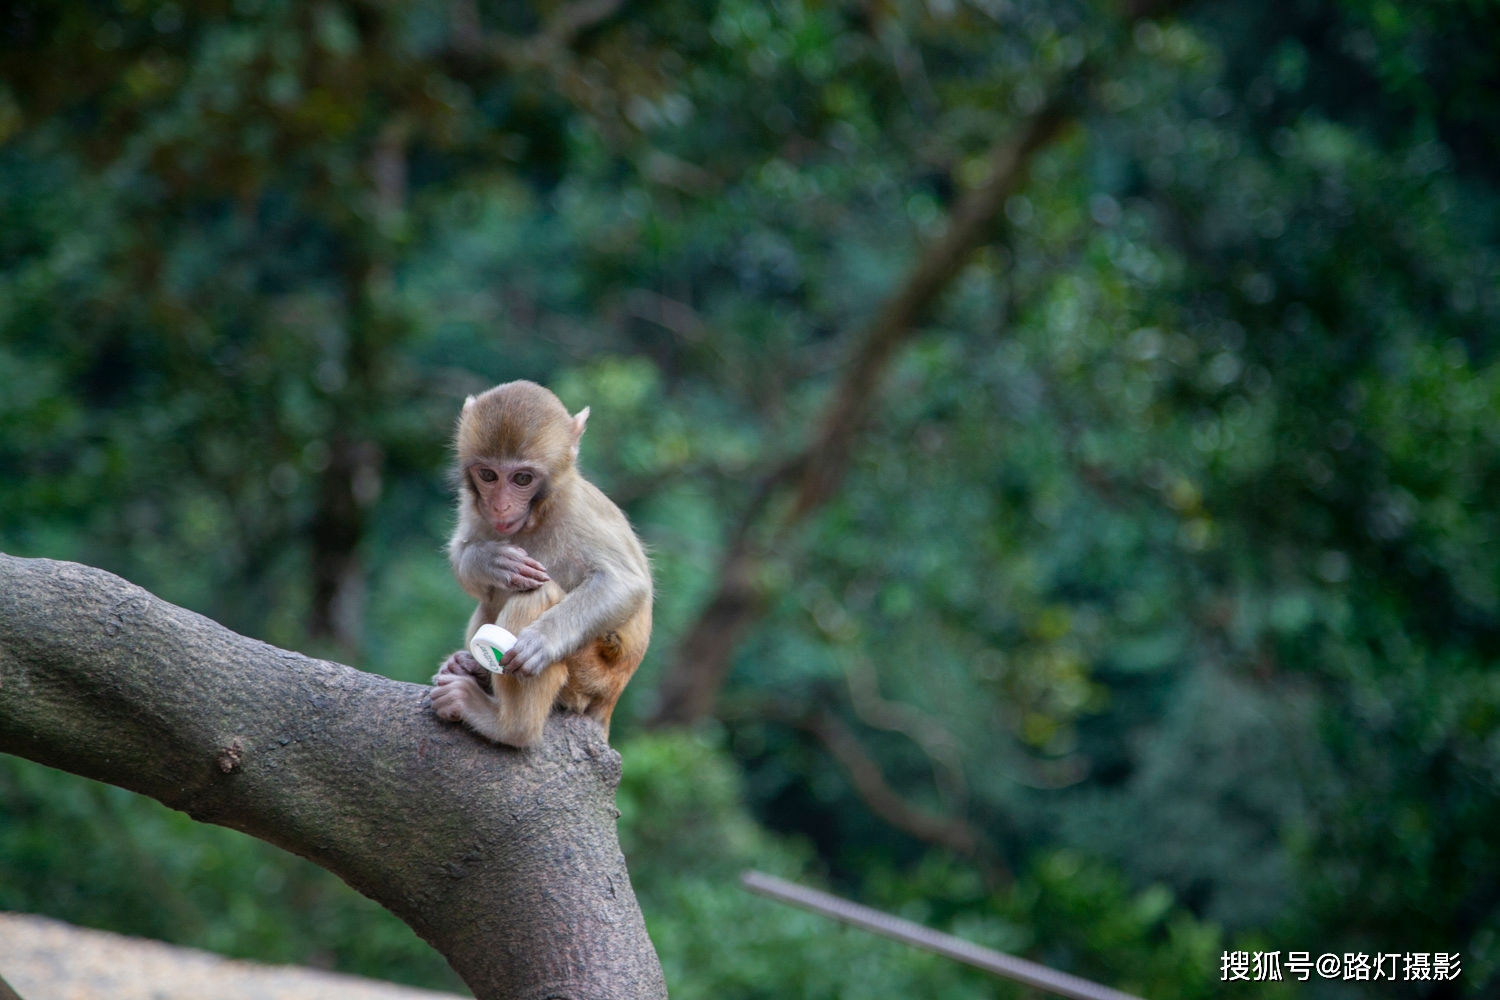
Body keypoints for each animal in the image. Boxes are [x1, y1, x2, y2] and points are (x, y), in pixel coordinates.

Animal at [429, 379, 651, 746]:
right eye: (488, 475)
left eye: (522, 479)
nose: (501, 507)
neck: (538, 515)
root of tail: (611, 700)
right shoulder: (472, 504)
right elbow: (462, 554)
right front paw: (490, 561)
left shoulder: (576, 507)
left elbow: (624, 584)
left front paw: (541, 641)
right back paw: (470, 668)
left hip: (591, 677)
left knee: (536, 595)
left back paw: (508, 725)